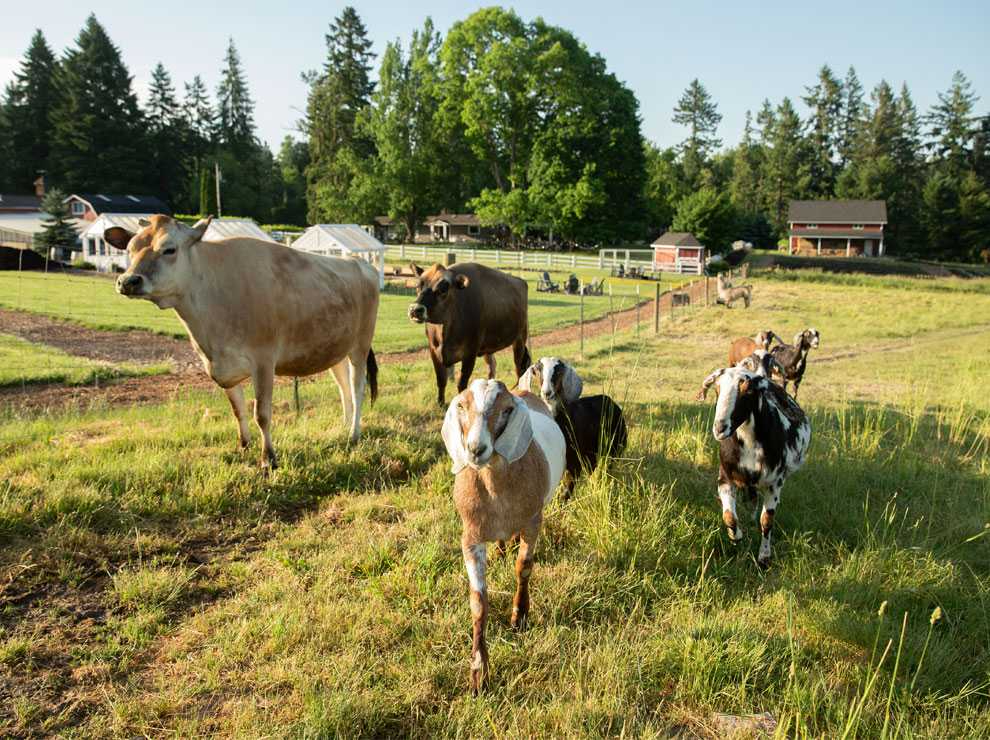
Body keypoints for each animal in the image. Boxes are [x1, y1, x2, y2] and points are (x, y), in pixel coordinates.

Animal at [107, 215, 379, 469]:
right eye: (130, 249)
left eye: (169, 249)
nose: (128, 281)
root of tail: (359, 262)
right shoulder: (221, 365)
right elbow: (238, 409)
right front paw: (244, 447)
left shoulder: (264, 360)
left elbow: (262, 414)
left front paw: (268, 459)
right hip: (334, 347)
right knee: (343, 387)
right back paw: (343, 427)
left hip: (360, 345)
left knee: (357, 388)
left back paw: (354, 434)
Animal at [407, 263, 531, 408]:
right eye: (418, 286)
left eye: (443, 289)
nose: (415, 309)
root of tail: (520, 281)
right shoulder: (434, 351)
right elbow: (441, 380)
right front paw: (440, 404)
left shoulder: (470, 352)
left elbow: (461, 384)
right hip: (488, 347)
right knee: (492, 367)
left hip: (520, 338)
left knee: (519, 369)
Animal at [442, 379, 566, 694]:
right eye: (461, 405)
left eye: (507, 410)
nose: (476, 449)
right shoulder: (470, 537)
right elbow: (478, 601)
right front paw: (478, 673)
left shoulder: (533, 521)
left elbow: (523, 568)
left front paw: (519, 616)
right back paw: (499, 549)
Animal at [519, 357, 627, 498]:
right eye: (537, 370)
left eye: (559, 371)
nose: (547, 393)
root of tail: (611, 402)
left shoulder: (574, 463)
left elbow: (566, 492)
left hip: (614, 447)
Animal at [702, 353, 811, 567]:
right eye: (717, 388)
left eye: (748, 391)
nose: (720, 428)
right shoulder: (725, 477)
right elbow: (729, 516)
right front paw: (736, 537)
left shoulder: (774, 484)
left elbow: (767, 522)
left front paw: (764, 558)